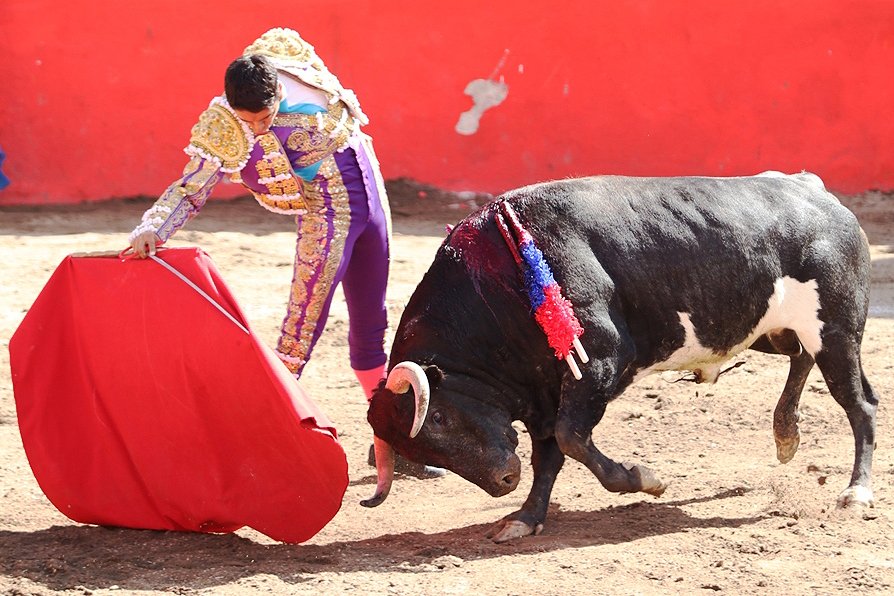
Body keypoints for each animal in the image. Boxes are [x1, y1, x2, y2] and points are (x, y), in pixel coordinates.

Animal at [362, 172, 878, 542]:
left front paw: (646, 479)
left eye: (440, 418)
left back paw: (856, 490)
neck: (500, 282)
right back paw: (785, 434)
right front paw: (525, 517)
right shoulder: (544, 389)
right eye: (418, 450)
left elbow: (570, 439)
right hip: (772, 330)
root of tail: (813, 189)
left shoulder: (600, 361)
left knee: (860, 403)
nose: (503, 479)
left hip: (836, 330)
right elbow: (548, 454)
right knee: (802, 359)